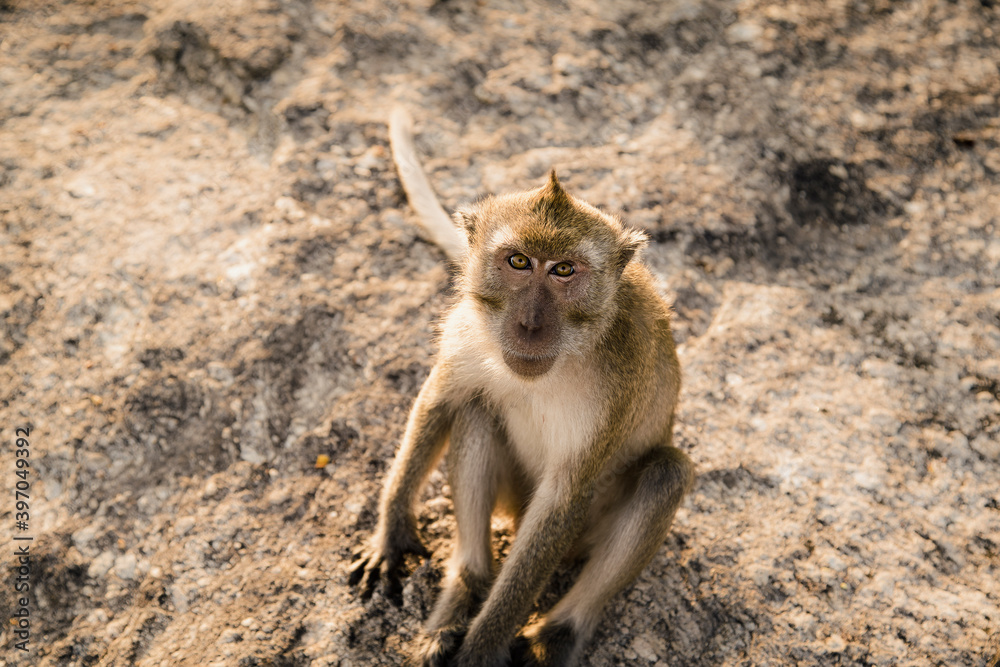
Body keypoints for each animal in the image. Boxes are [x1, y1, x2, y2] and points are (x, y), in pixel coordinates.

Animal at [352, 107, 696, 664]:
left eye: (563, 270)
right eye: (518, 262)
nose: (530, 325)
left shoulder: (619, 381)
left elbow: (564, 495)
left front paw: (483, 646)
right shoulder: (467, 332)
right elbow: (440, 402)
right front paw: (393, 531)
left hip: (583, 537)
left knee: (666, 473)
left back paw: (557, 635)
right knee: (475, 408)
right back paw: (465, 587)